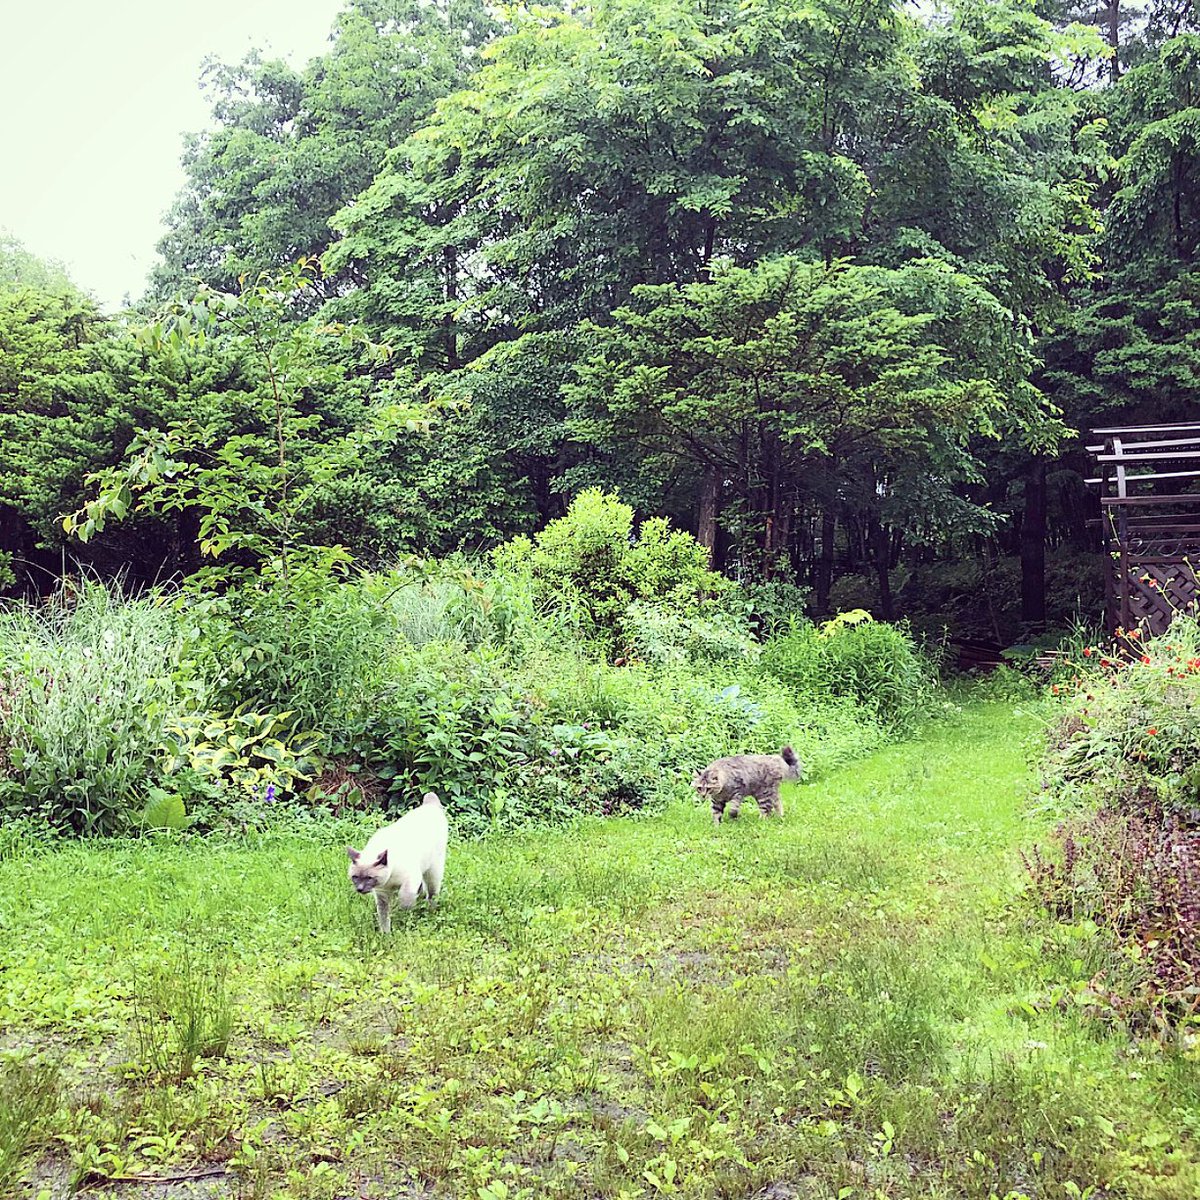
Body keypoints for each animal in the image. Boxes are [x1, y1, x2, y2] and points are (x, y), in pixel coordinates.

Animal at [347, 791, 448, 933]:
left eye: (369, 878)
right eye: (355, 877)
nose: (360, 889)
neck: (389, 881)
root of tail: (429, 805)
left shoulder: (409, 881)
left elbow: (404, 900)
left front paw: (404, 914)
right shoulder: (382, 895)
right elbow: (384, 917)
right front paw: (386, 935)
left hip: (433, 872)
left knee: (432, 894)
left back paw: (429, 911)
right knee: (422, 889)